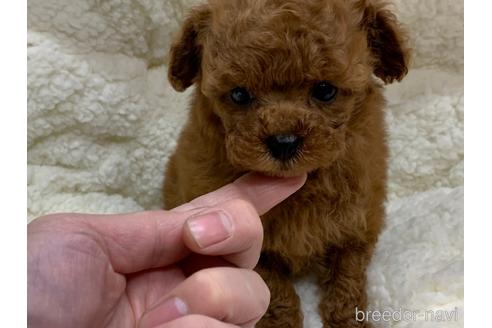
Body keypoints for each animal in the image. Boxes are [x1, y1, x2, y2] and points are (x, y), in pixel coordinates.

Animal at [163, 1, 410, 326]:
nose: (283, 141)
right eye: (239, 94)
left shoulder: (358, 221)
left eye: (325, 90)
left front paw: (347, 319)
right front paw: (284, 321)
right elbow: (273, 288)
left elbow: (348, 276)